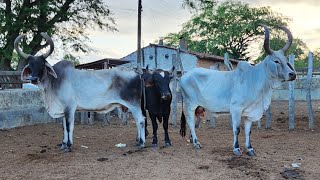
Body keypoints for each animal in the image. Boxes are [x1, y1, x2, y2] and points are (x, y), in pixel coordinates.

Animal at [14, 33, 146, 151]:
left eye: (41, 65)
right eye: (30, 66)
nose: (33, 79)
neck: (54, 82)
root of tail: (137, 74)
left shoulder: (70, 107)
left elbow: (69, 126)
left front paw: (68, 145)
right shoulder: (63, 109)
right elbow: (63, 127)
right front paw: (63, 144)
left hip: (133, 104)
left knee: (140, 120)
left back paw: (142, 143)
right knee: (138, 121)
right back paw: (137, 141)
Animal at [181, 25, 296, 156]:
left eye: (286, 60)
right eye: (276, 61)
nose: (292, 74)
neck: (254, 80)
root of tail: (184, 75)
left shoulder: (249, 112)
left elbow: (248, 131)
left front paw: (250, 149)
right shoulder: (236, 109)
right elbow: (237, 130)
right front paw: (236, 148)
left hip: (199, 107)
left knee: (196, 121)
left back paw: (192, 139)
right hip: (190, 104)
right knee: (190, 122)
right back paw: (196, 143)